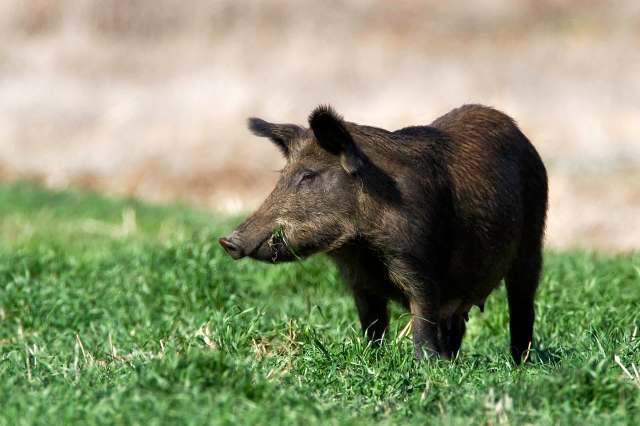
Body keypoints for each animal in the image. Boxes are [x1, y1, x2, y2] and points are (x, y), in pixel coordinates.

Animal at [219, 104, 548, 364]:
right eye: (282, 175)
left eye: (308, 175)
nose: (228, 241)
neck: (362, 247)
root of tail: (522, 137)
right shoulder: (359, 281)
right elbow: (372, 324)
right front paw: (373, 357)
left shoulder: (417, 262)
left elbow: (421, 315)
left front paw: (426, 365)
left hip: (532, 242)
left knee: (522, 304)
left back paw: (519, 363)